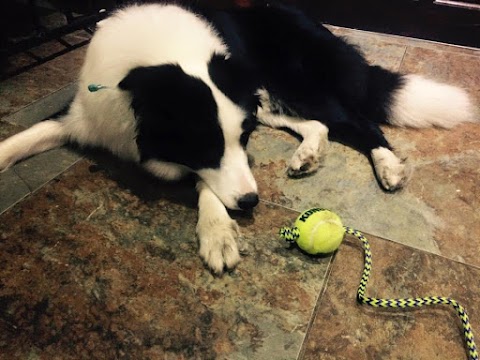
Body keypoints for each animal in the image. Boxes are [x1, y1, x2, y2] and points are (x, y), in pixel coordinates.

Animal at [0, 2, 474, 274]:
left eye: (239, 144)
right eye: (206, 144)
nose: (252, 203)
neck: (153, 69)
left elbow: (206, 183)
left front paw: (217, 234)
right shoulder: (83, 115)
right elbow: (25, 136)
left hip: (293, 82)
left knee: (355, 120)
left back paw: (387, 165)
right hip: (262, 94)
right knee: (316, 124)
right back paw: (307, 154)